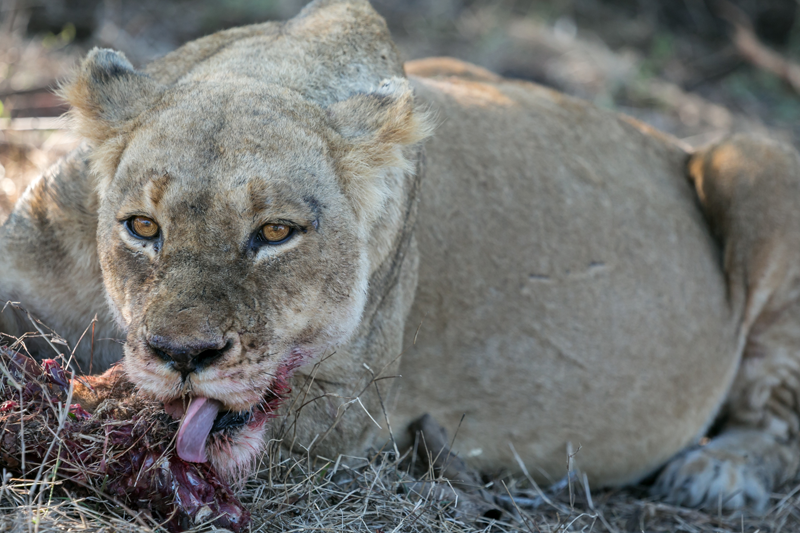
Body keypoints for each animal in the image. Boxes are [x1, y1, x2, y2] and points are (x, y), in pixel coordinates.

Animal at [2, 0, 800, 512]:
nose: (180, 354)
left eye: (276, 233)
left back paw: (717, 473)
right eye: (142, 227)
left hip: (759, 160)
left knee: (777, 421)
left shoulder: (344, 411)